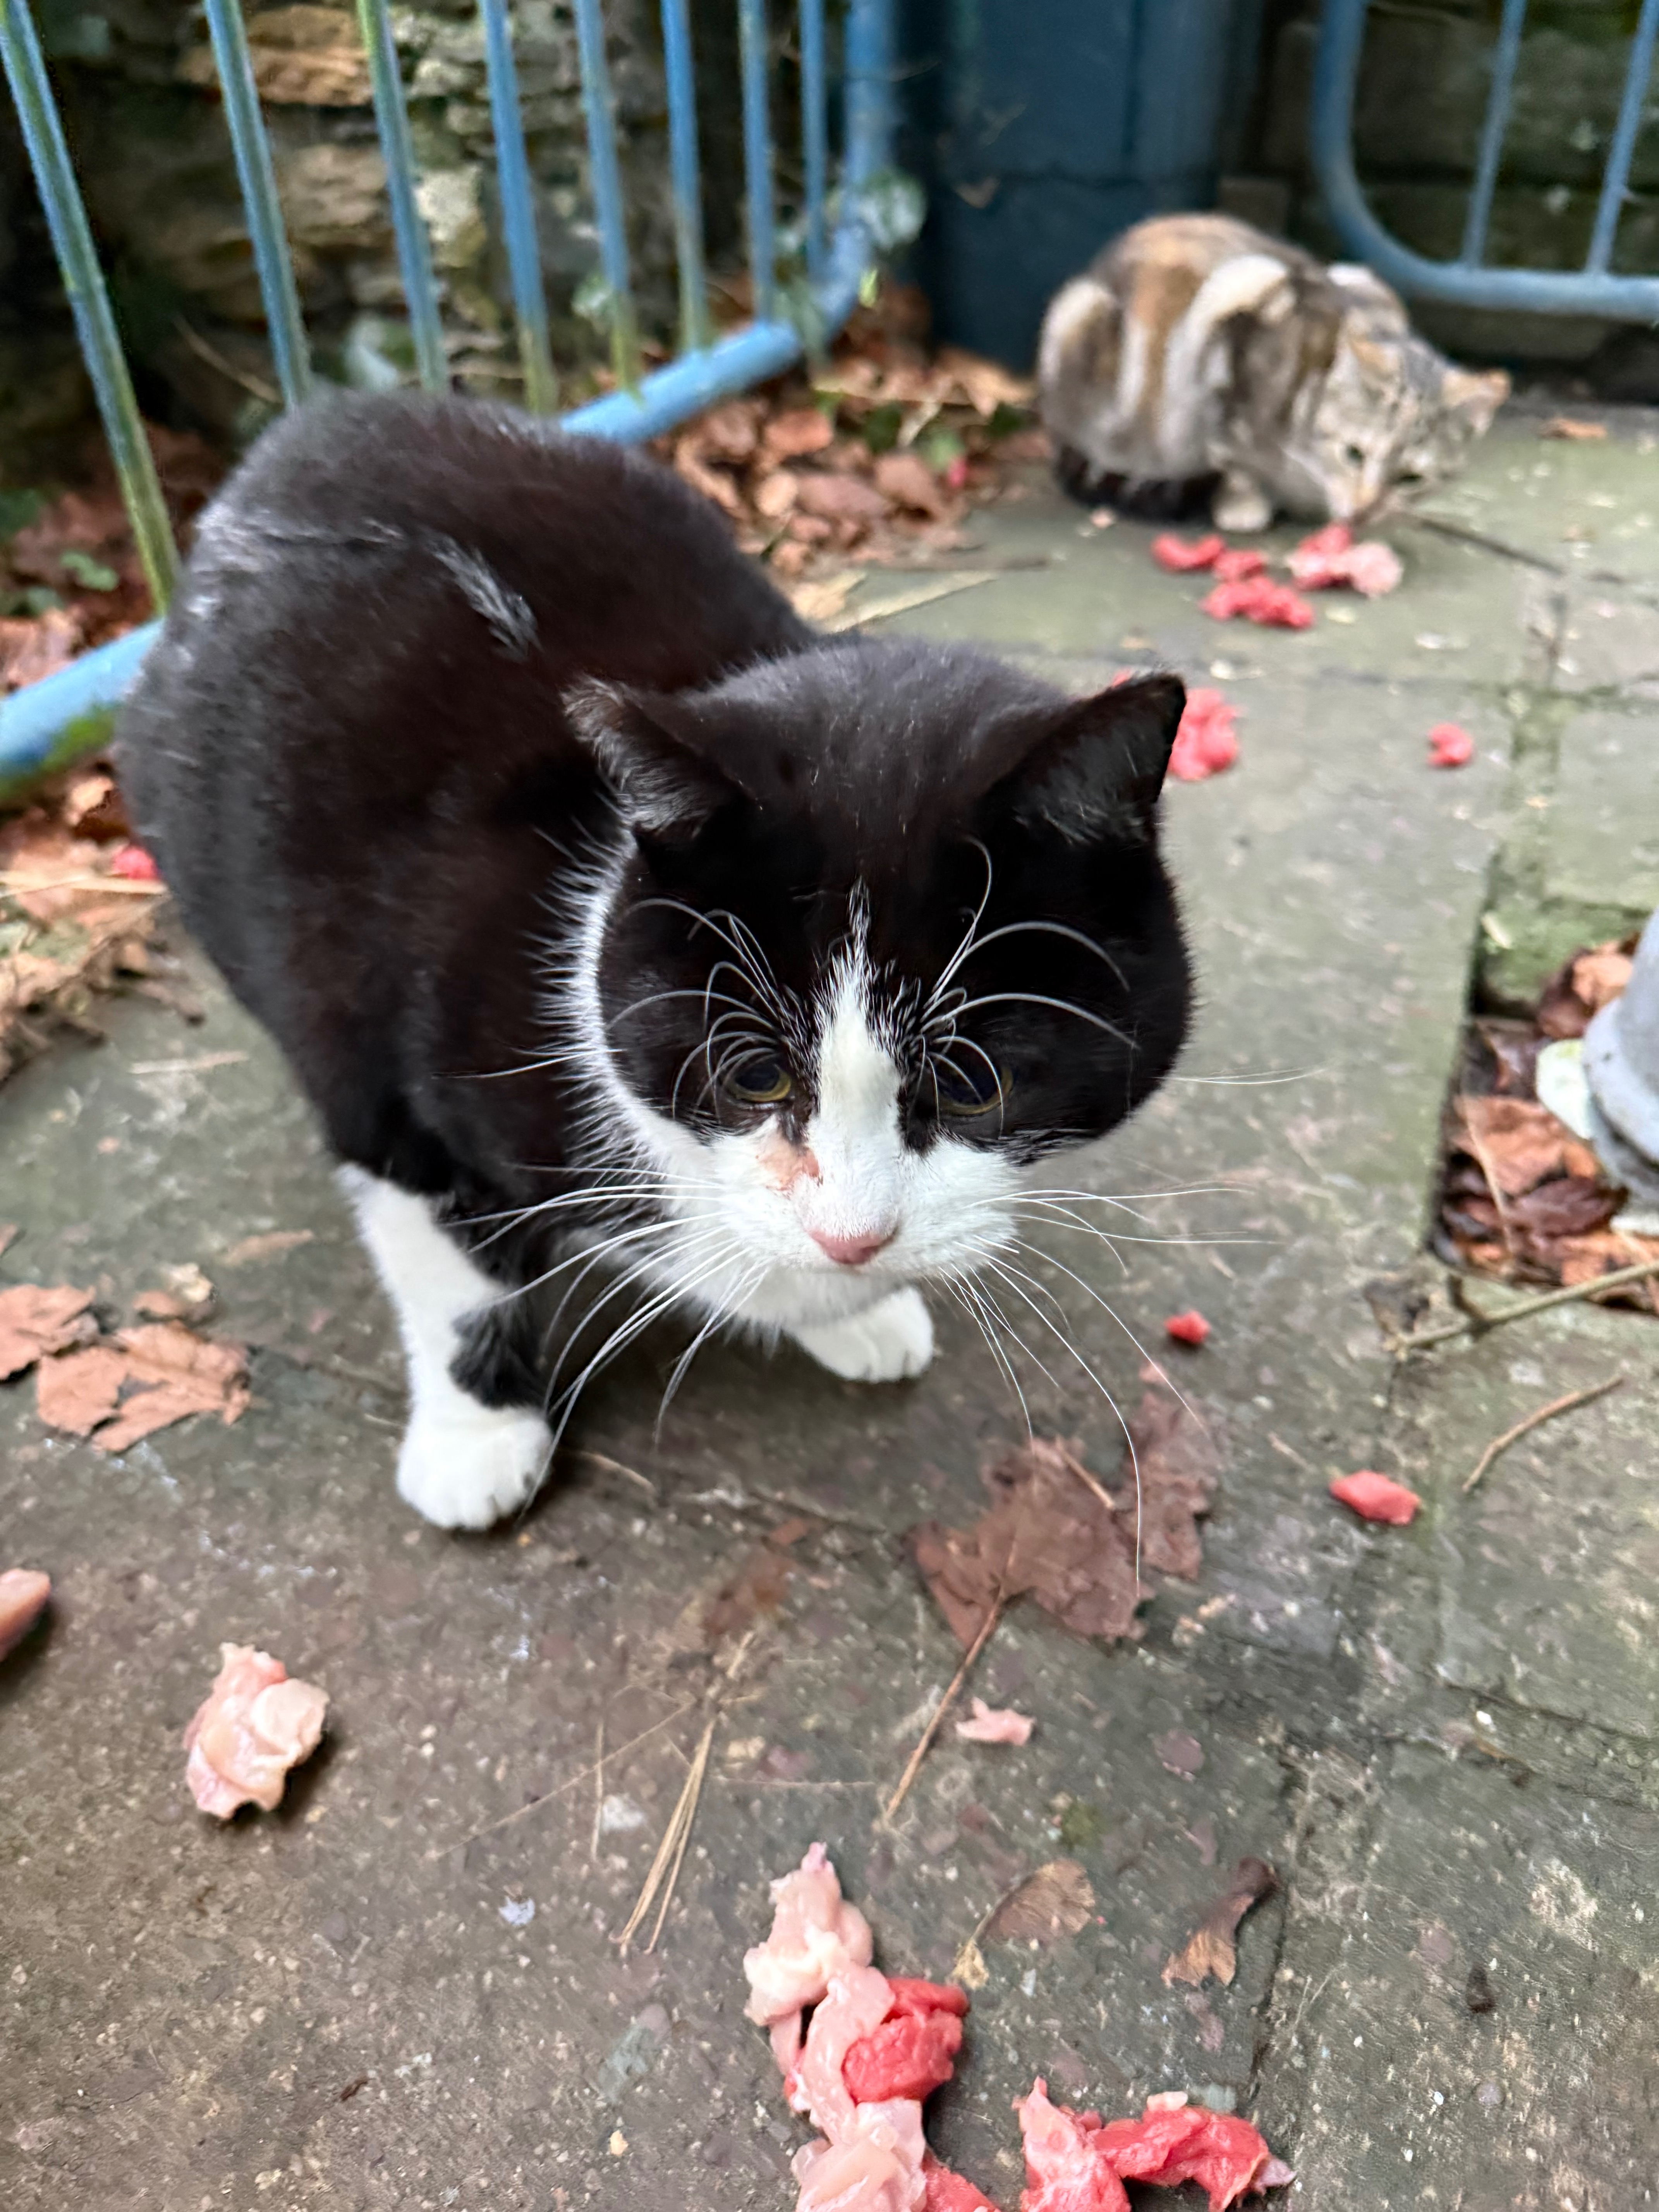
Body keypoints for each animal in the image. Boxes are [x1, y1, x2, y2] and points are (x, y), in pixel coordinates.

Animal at [119, 391, 1192, 1530]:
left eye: (976, 1083)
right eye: (752, 1073)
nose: (854, 1239)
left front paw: (850, 1310)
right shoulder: (377, 1073)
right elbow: (445, 1264)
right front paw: (475, 1435)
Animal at [1038, 213, 1510, 533]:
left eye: (1411, 478)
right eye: (1354, 454)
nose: (1363, 512)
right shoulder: (1236, 304)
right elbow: (1233, 453)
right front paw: (1245, 506)